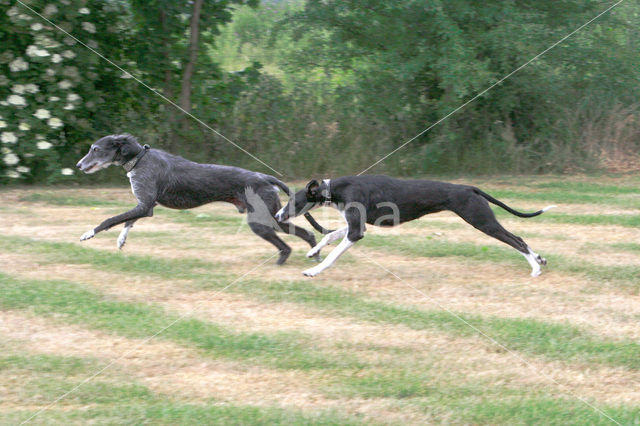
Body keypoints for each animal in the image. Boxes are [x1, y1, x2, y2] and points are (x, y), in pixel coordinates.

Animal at [75, 135, 330, 264]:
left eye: (95, 149)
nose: (78, 165)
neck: (139, 158)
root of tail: (265, 177)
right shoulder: (146, 206)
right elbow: (128, 221)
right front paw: (121, 240)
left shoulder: (145, 205)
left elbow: (110, 219)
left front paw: (88, 233)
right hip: (272, 217)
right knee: (305, 234)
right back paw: (313, 255)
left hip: (261, 220)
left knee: (288, 244)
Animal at [276, 176, 556, 278]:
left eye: (292, 201)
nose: (278, 215)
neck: (335, 188)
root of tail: (470, 187)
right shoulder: (356, 225)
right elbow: (330, 236)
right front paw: (313, 252)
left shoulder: (357, 231)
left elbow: (333, 255)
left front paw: (315, 270)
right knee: (520, 238)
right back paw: (539, 260)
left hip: (481, 220)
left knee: (516, 239)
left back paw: (534, 268)